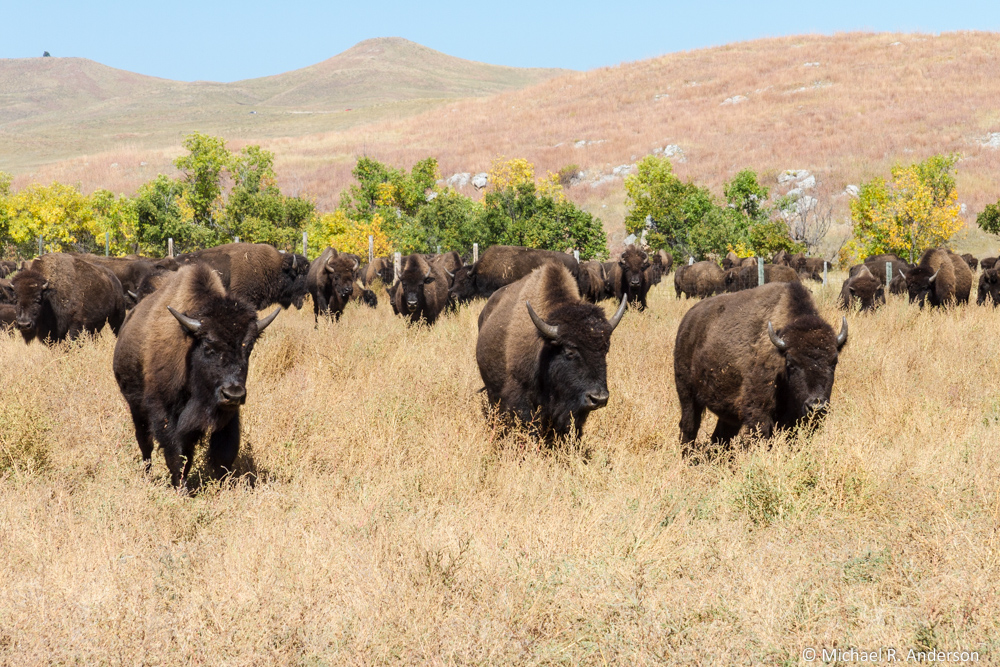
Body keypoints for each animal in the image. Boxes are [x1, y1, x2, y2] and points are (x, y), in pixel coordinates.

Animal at [111, 264, 280, 488]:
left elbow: (224, 452)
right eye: (208, 346)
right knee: (145, 443)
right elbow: (177, 454)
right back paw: (147, 475)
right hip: (136, 408)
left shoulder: (228, 413)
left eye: (249, 347)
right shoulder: (164, 412)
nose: (233, 394)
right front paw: (181, 488)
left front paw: (224, 487)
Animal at [676, 282, 848, 454]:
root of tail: (687, 321)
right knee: (689, 426)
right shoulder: (759, 413)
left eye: (834, 361)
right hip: (687, 394)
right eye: (791, 363)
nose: (816, 406)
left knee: (721, 436)